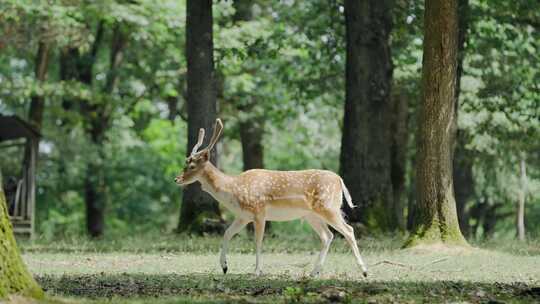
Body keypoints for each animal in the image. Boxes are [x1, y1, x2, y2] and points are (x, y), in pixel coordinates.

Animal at [175, 119, 370, 278]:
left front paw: (256, 271)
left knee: (348, 230)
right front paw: (224, 267)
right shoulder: (243, 216)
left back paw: (364, 271)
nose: (177, 179)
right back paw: (314, 272)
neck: (233, 190)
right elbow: (227, 233)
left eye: (191, 166)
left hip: (328, 207)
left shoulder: (259, 212)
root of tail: (339, 180)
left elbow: (258, 241)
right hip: (311, 215)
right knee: (327, 235)